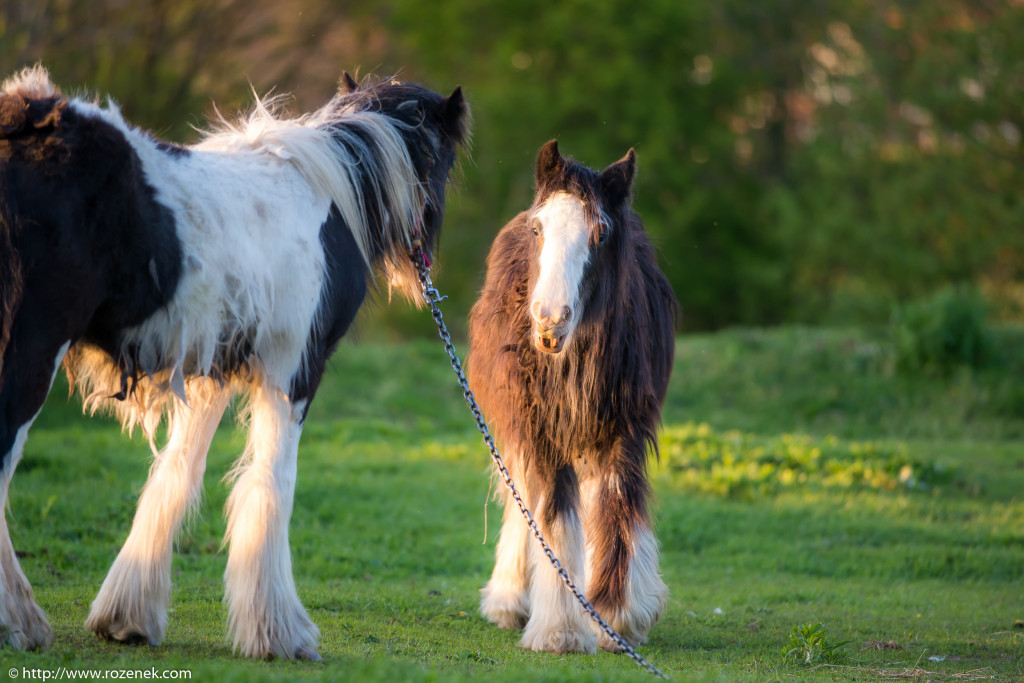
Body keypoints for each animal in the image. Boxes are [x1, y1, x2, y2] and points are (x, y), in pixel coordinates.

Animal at [0, 66, 468, 659]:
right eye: (444, 162)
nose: (423, 261)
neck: (327, 195)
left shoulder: (211, 374)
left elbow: (176, 473)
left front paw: (128, 617)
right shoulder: (293, 371)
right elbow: (272, 481)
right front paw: (280, 634)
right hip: (33, 348)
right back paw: (22, 622)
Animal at [468, 137, 675, 651]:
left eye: (600, 234)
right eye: (538, 228)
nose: (549, 321)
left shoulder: (624, 426)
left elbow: (617, 501)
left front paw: (615, 615)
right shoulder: (539, 425)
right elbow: (554, 512)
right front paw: (559, 629)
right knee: (523, 494)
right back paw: (509, 600)